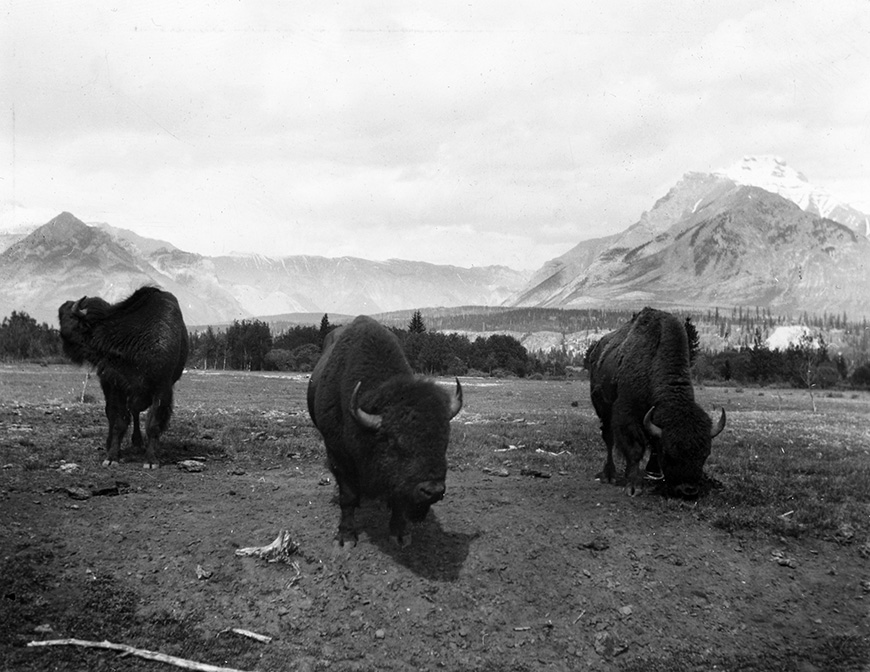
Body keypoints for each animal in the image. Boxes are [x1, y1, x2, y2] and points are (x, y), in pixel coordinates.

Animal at [58, 286, 188, 470]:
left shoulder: (161, 388)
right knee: (115, 416)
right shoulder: (116, 385)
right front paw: (112, 457)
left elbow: (153, 424)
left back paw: (140, 444)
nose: (61, 334)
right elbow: (119, 421)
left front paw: (151, 460)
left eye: (69, 317)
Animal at [310, 316, 466, 544]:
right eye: (395, 443)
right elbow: (348, 496)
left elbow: (397, 496)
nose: (432, 491)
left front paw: (400, 534)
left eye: (444, 441)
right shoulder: (337, 454)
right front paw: (345, 537)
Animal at [588, 308, 724, 496]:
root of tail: (597, 350)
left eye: (705, 454)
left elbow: (652, 445)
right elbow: (635, 449)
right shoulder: (628, 415)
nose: (688, 490)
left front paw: (653, 472)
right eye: (668, 453)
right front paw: (634, 486)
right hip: (603, 409)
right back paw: (610, 475)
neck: (652, 363)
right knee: (608, 438)